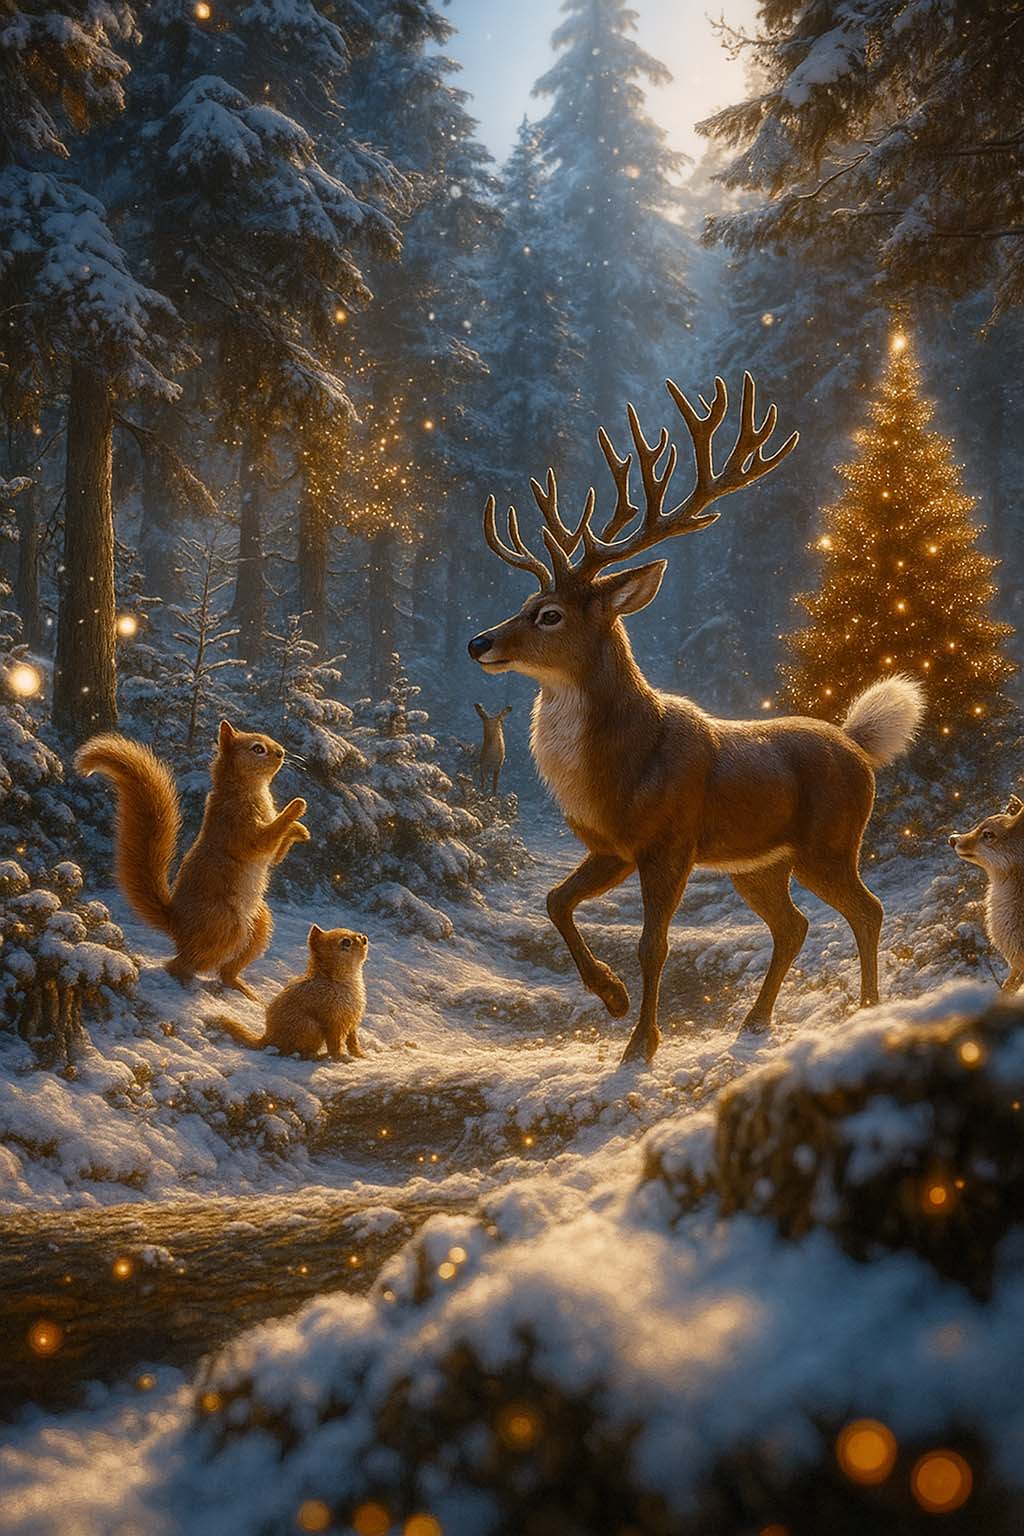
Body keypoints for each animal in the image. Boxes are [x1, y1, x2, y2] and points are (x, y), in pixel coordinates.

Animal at [468, 372, 924, 1065]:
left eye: (549, 614)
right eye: (524, 601)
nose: (479, 643)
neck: (617, 767)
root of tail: (857, 742)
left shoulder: (670, 842)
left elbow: (653, 945)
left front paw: (640, 1044)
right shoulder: (611, 847)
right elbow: (554, 901)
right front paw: (612, 998)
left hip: (830, 842)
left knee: (865, 910)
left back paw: (869, 1008)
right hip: (758, 864)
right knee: (794, 925)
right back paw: (757, 1021)